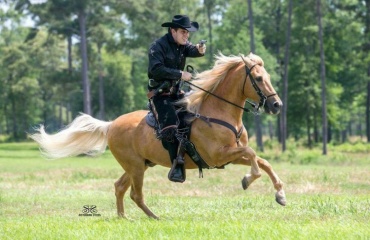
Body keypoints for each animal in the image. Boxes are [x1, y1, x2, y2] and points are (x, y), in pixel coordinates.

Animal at [30, 52, 288, 219]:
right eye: (258, 78)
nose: (277, 105)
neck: (218, 113)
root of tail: (111, 125)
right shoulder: (218, 156)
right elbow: (253, 155)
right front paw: (248, 179)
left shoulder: (230, 156)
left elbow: (263, 161)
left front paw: (280, 194)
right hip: (136, 167)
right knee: (135, 194)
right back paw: (154, 217)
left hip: (140, 165)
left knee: (119, 187)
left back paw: (124, 218)